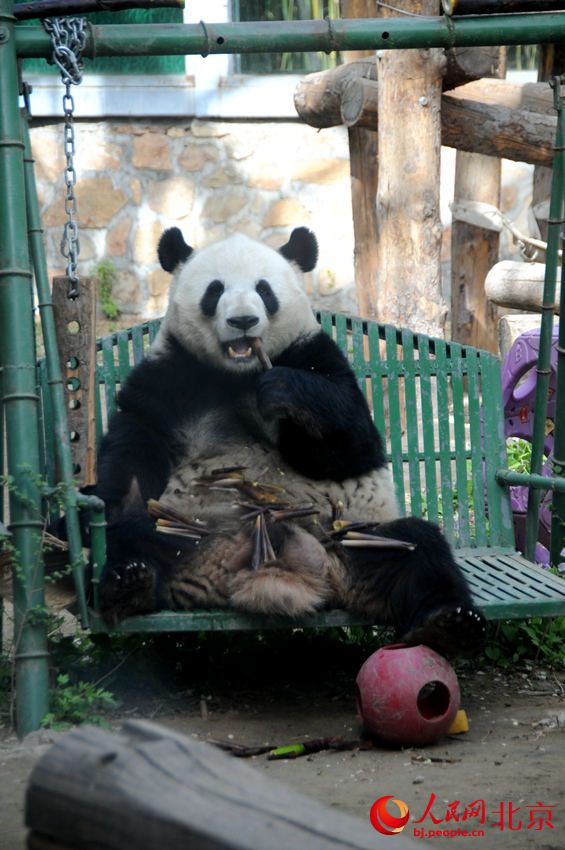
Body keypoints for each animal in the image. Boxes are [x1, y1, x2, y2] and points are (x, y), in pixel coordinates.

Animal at [91, 224, 484, 656]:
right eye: (215, 289)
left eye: (264, 289)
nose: (243, 320)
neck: (238, 373)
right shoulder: (172, 374)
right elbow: (135, 438)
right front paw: (111, 498)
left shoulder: (312, 353)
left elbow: (352, 447)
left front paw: (283, 391)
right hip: (190, 532)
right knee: (132, 534)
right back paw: (131, 583)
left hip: (349, 538)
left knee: (419, 549)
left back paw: (447, 622)